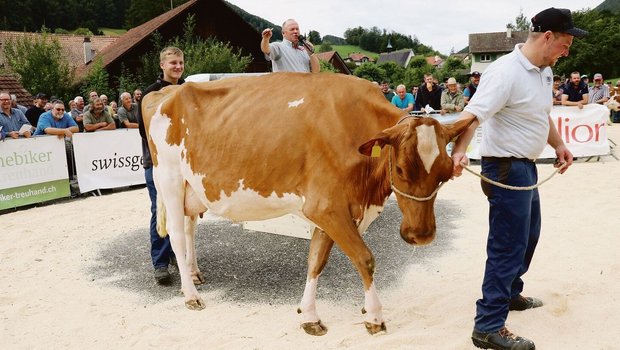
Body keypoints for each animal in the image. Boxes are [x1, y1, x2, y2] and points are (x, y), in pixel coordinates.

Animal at [143, 72, 472, 336]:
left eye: (446, 173)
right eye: (401, 169)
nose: (422, 235)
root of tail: (167, 90)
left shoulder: (331, 211)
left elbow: (316, 261)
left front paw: (310, 316)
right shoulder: (326, 207)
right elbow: (364, 258)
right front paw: (375, 316)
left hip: (192, 189)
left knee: (189, 229)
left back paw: (194, 273)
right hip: (169, 179)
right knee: (175, 234)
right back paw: (190, 294)